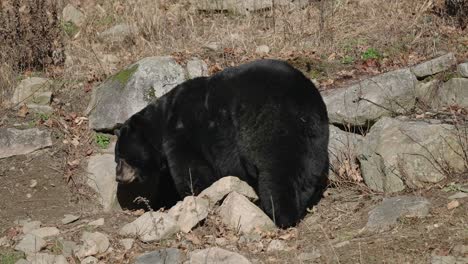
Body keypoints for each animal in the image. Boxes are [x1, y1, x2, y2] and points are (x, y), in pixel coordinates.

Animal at [114, 58, 328, 228]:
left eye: (120, 157)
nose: (118, 177)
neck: (162, 122)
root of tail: (306, 101)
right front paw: (161, 201)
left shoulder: (183, 132)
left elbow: (190, 169)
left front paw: (193, 197)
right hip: (313, 140)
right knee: (306, 172)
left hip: (271, 123)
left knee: (278, 167)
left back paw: (279, 213)